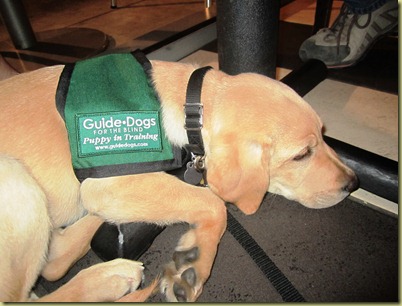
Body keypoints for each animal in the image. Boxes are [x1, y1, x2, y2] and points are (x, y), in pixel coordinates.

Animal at [0, 56, 358, 302]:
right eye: (301, 155)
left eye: (324, 135)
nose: (353, 183)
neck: (190, 107)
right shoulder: (106, 185)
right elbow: (215, 204)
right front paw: (196, 265)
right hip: (15, 176)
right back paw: (110, 277)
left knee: (54, 260)